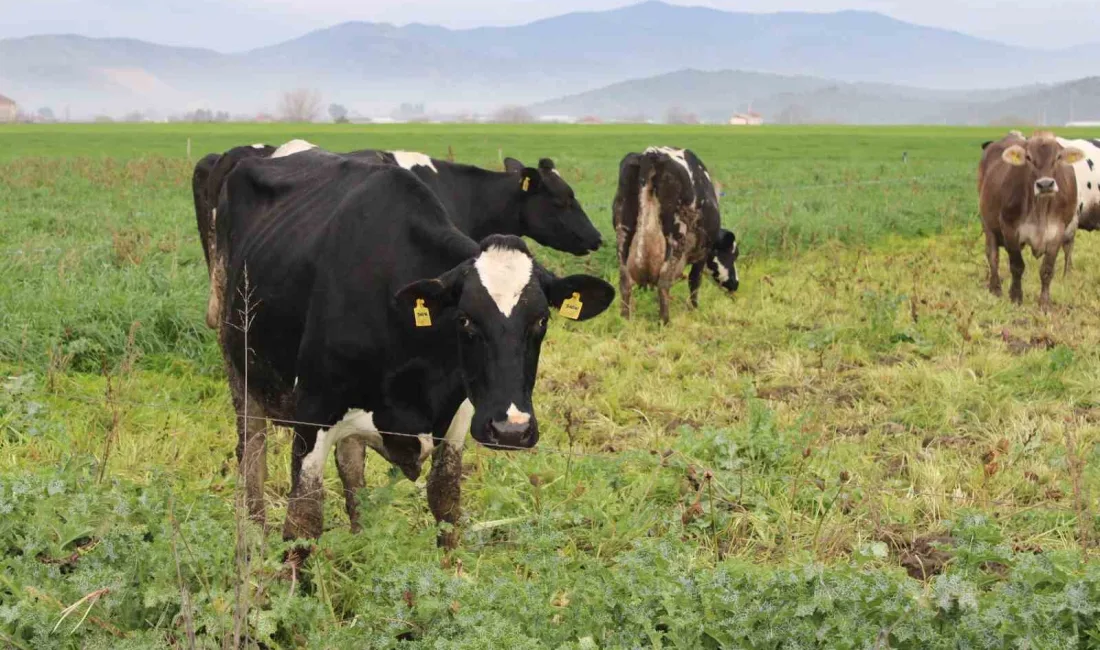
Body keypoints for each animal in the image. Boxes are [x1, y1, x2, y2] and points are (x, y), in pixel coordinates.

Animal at [210, 155, 616, 547]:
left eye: (542, 320)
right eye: (465, 319)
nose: (511, 430)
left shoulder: (458, 413)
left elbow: (446, 505)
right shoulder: (313, 410)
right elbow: (302, 523)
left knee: (351, 465)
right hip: (238, 361)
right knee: (252, 455)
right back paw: (254, 539)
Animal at [611, 145, 739, 323]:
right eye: (733, 255)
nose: (736, 283)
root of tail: (651, 154)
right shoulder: (702, 252)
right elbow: (695, 281)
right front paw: (695, 310)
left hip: (623, 231)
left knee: (624, 280)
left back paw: (625, 319)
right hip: (676, 237)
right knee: (664, 281)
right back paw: (665, 321)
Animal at [981, 131, 1082, 310]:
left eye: (1058, 157)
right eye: (1028, 157)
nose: (1045, 184)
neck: (1040, 209)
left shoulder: (1057, 232)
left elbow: (1047, 270)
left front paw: (1045, 304)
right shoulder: (1010, 229)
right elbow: (1017, 266)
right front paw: (1016, 297)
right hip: (988, 224)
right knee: (993, 256)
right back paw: (995, 288)